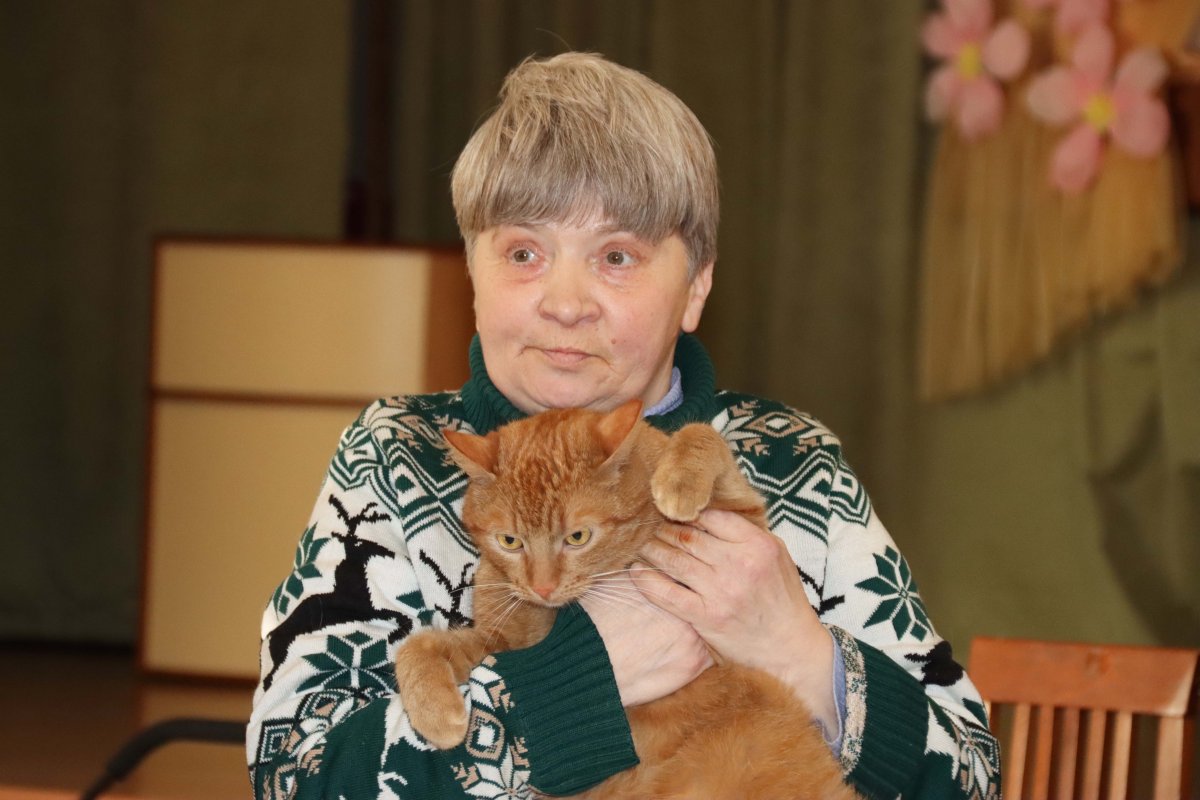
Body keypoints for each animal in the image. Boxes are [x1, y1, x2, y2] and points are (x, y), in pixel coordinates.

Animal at [394, 399, 860, 800]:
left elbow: (702, 433)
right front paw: (436, 714)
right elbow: (419, 646)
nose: (542, 588)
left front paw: (679, 480)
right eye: (510, 541)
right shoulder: (504, 641)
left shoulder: (742, 520)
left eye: (578, 536)